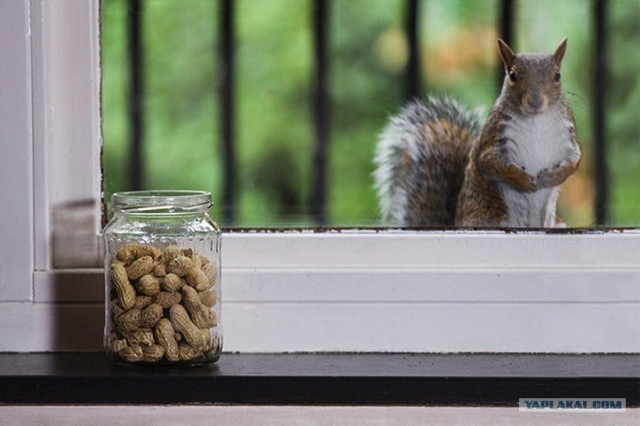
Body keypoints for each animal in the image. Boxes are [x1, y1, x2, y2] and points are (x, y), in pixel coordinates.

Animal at [372, 38, 584, 228]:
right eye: (512, 75)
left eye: (557, 75)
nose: (535, 101)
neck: (536, 120)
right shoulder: (493, 137)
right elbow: (491, 163)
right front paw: (522, 181)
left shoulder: (567, 137)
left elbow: (574, 160)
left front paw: (553, 176)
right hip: (494, 219)